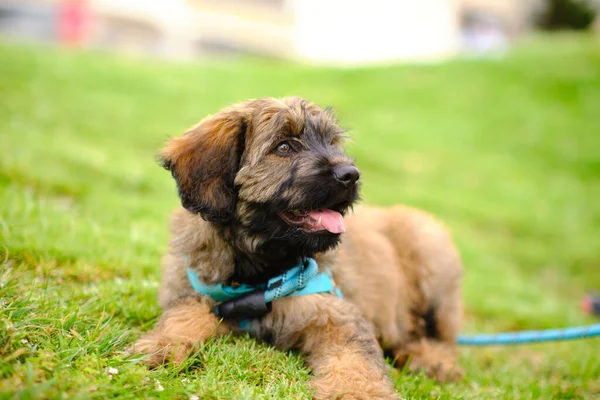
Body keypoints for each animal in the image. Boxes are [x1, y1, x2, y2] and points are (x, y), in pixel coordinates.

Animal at [135, 97, 464, 400]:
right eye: (284, 147)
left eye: (331, 142)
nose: (351, 174)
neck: (261, 271)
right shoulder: (192, 288)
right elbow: (184, 314)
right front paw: (162, 345)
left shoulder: (335, 313)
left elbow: (355, 359)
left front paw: (358, 392)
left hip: (429, 249)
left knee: (437, 335)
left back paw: (433, 360)